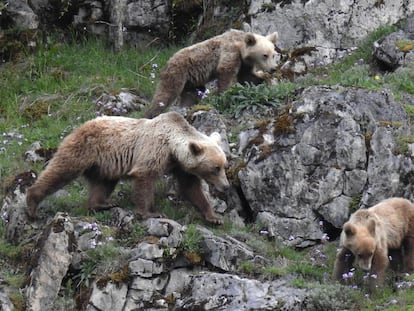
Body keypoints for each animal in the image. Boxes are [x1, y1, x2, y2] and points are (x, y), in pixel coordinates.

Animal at [25, 112, 230, 224]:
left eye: (224, 166)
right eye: (215, 168)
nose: (226, 186)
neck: (173, 147)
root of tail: (82, 124)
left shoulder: (180, 166)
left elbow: (191, 188)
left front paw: (214, 216)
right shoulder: (154, 150)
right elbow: (144, 178)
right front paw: (151, 212)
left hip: (104, 164)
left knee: (104, 183)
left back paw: (101, 203)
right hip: (84, 149)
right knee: (61, 170)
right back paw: (32, 203)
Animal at [145, 29, 278, 118]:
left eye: (273, 54)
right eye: (264, 55)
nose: (273, 69)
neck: (241, 48)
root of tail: (168, 61)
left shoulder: (244, 64)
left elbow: (246, 77)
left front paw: (266, 81)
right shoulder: (231, 52)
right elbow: (226, 72)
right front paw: (224, 95)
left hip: (192, 82)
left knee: (191, 95)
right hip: (177, 73)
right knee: (165, 94)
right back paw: (152, 114)